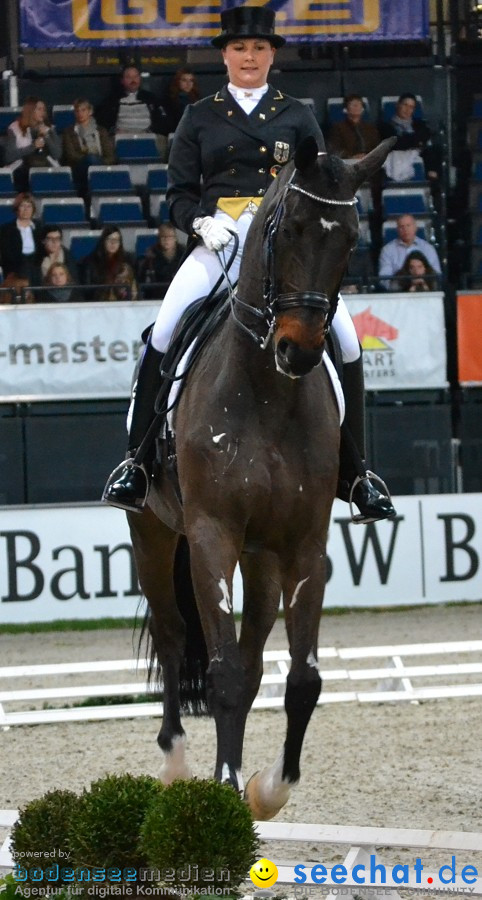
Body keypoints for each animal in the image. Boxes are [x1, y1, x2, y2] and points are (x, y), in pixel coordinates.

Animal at [129, 137, 396, 820]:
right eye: (290, 228)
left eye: (351, 238)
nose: (299, 350)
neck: (267, 393)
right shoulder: (212, 536)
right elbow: (220, 671)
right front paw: (221, 789)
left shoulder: (303, 545)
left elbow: (300, 680)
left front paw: (267, 789)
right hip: (154, 534)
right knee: (173, 637)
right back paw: (175, 762)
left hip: (263, 561)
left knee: (252, 664)